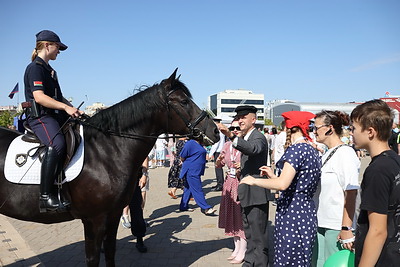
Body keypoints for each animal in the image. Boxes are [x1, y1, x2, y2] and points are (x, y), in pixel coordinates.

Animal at [0, 70, 219, 266]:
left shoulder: (112, 215)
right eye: (183, 101)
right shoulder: (94, 220)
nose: (215, 131)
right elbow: (93, 259)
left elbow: (111, 253)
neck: (106, 151)